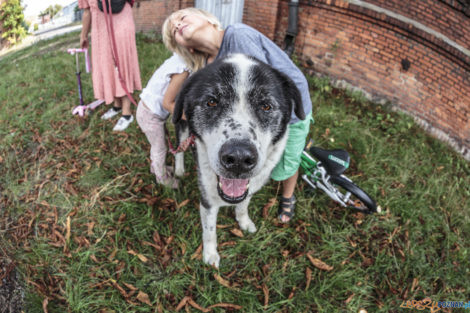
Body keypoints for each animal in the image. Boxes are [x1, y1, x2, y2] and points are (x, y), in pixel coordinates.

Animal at [173, 53, 304, 266]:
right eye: (211, 102)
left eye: (266, 106)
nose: (238, 159)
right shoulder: (207, 199)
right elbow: (209, 231)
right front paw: (210, 255)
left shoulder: (249, 189)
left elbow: (243, 206)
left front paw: (244, 222)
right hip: (182, 126)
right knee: (178, 150)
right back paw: (178, 170)